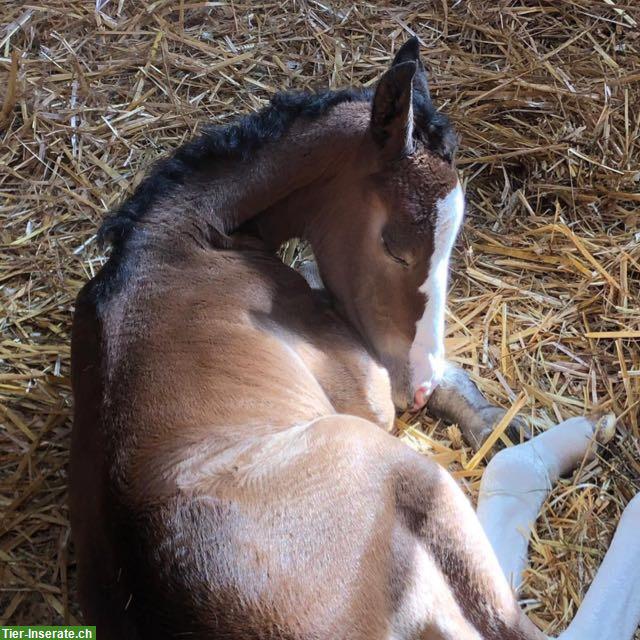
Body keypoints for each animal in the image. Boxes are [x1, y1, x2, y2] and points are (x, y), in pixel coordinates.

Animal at [70, 40, 640, 640]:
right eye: (394, 246)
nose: (418, 386)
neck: (179, 242)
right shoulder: (365, 389)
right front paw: (486, 415)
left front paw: (490, 416)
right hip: (403, 470)